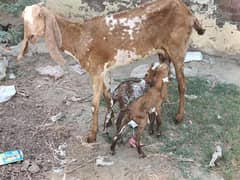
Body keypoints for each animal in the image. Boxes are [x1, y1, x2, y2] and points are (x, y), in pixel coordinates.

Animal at [17, 0, 204, 143]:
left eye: (40, 16)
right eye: (24, 19)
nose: (31, 36)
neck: (80, 38)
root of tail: (187, 11)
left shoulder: (95, 71)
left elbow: (94, 105)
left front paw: (92, 136)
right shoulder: (104, 70)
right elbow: (107, 96)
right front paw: (110, 120)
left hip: (178, 48)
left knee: (182, 84)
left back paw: (179, 117)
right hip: (163, 53)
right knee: (165, 78)